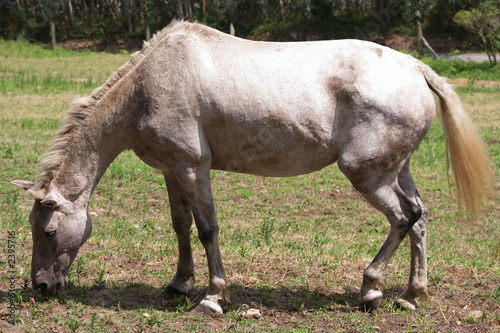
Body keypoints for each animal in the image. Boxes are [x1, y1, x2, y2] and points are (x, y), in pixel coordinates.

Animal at [11, 20, 492, 314]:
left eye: (48, 231)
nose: (40, 287)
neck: (147, 86)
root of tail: (415, 67)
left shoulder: (193, 168)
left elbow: (207, 229)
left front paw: (212, 296)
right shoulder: (171, 170)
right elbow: (181, 225)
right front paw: (179, 284)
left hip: (367, 175)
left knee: (403, 218)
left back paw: (371, 288)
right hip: (396, 171)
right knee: (420, 218)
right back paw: (411, 294)